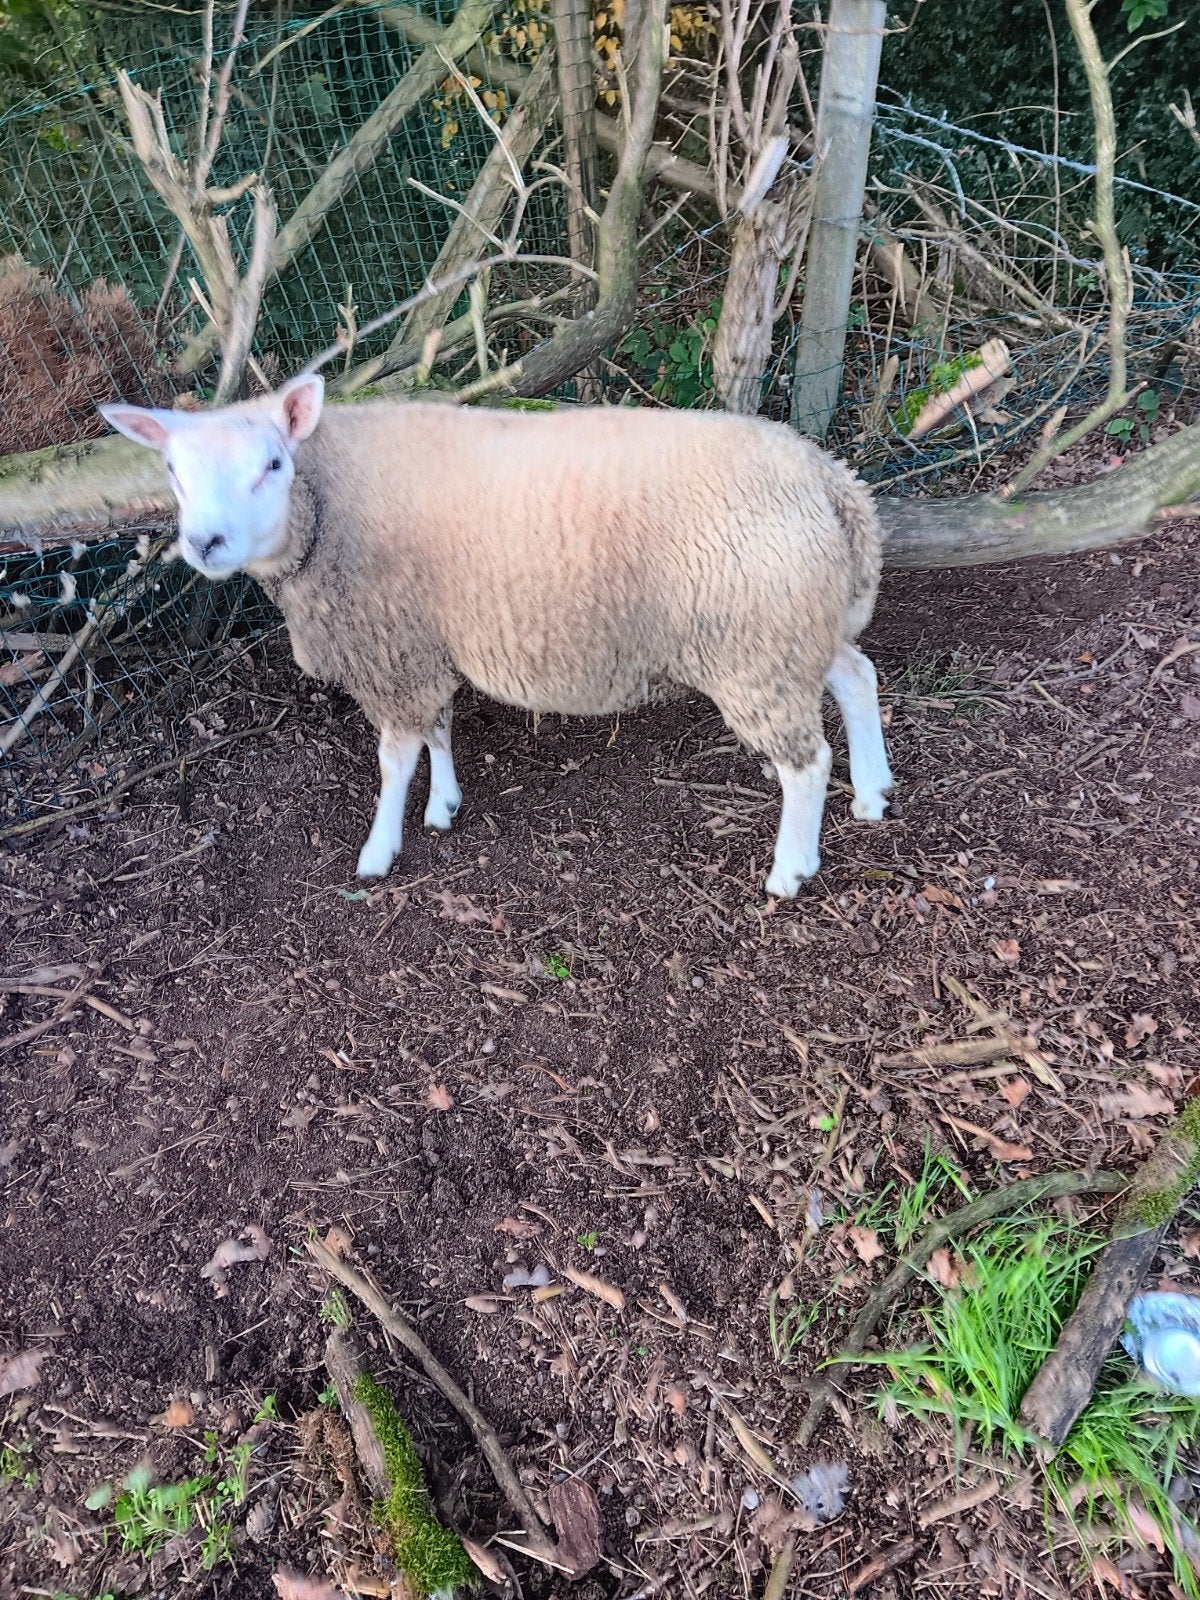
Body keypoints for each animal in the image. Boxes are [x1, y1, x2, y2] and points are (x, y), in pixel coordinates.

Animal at [100, 376, 894, 897]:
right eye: (172, 469)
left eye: (272, 463)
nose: (204, 543)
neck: (325, 507)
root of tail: (831, 481)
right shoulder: (421, 637)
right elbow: (437, 729)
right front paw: (444, 805)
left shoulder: (392, 644)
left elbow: (395, 756)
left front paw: (380, 848)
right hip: (795, 629)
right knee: (857, 675)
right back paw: (872, 793)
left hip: (756, 642)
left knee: (806, 761)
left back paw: (791, 867)